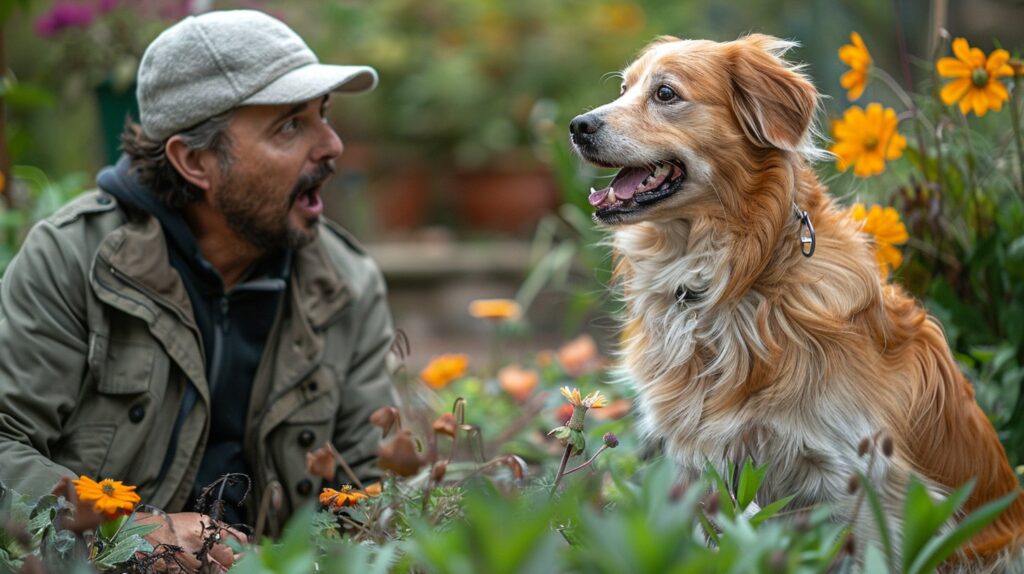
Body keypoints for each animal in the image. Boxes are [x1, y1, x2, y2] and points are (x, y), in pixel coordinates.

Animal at [573, 34, 1024, 568]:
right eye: (624, 88)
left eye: (665, 94)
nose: (578, 126)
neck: (736, 276)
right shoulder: (700, 464)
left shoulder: (866, 477)